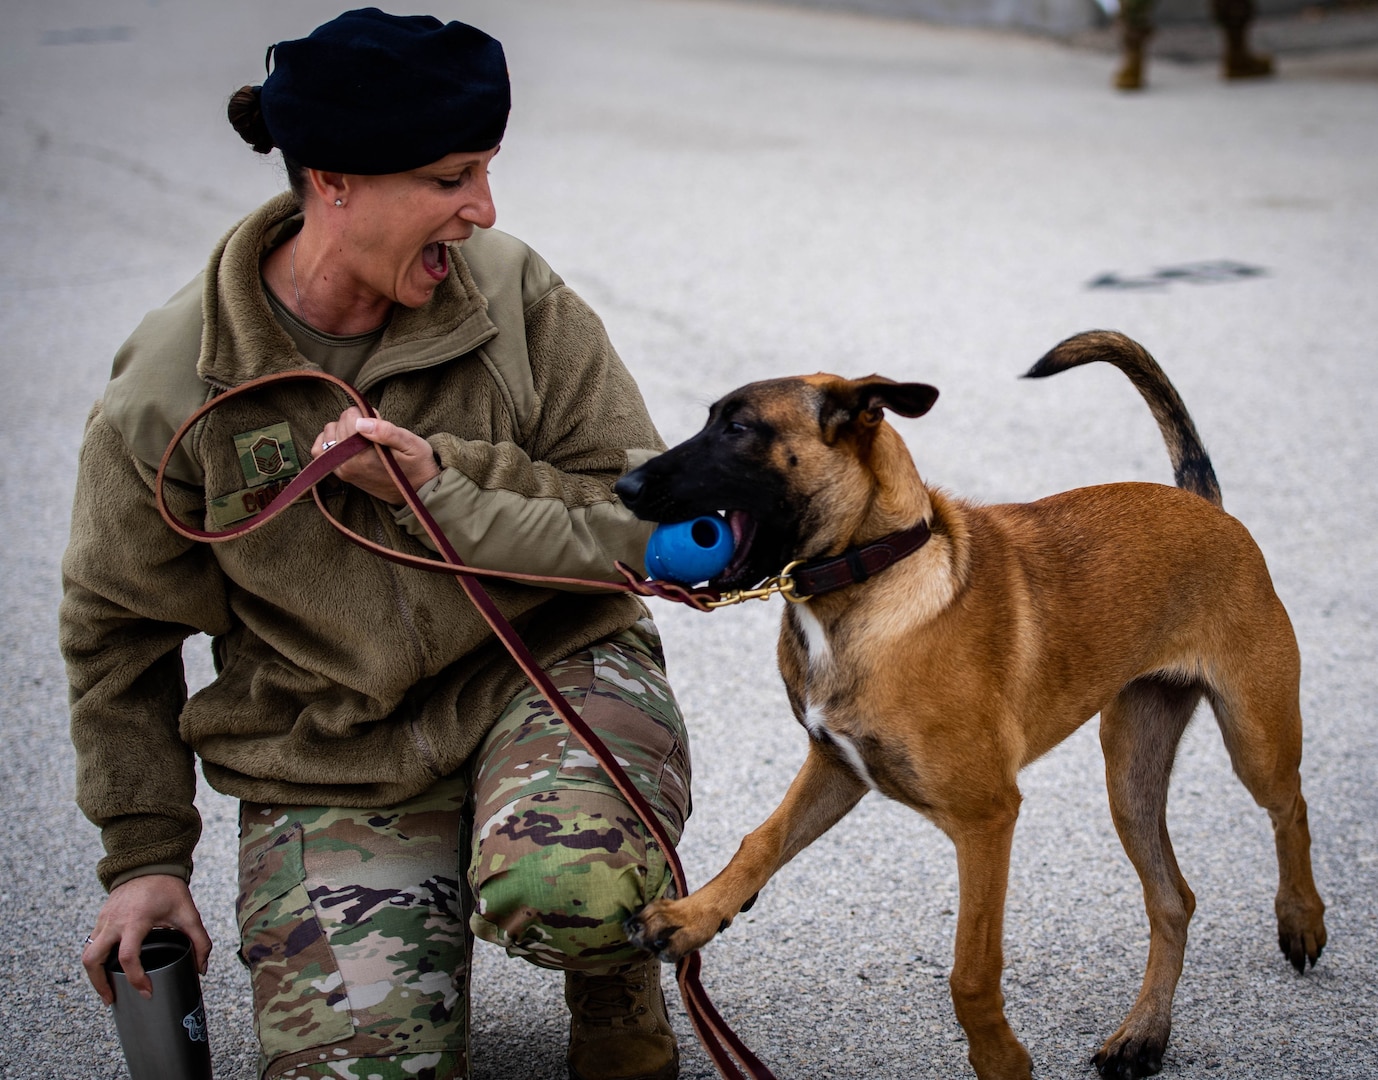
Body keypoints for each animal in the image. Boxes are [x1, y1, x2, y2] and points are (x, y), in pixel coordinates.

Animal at [614, 329, 1322, 1080]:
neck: (875, 575)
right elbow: (760, 843)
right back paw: (1142, 1036)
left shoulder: (987, 819)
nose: (622, 487)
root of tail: (1207, 504)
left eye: (741, 429)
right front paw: (693, 915)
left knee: (1290, 806)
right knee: (1173, 899)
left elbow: (970, 971)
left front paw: (1002, 1059)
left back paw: (1301, 918)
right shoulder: (834, 768)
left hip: (1254, 734)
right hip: (1131, 774)